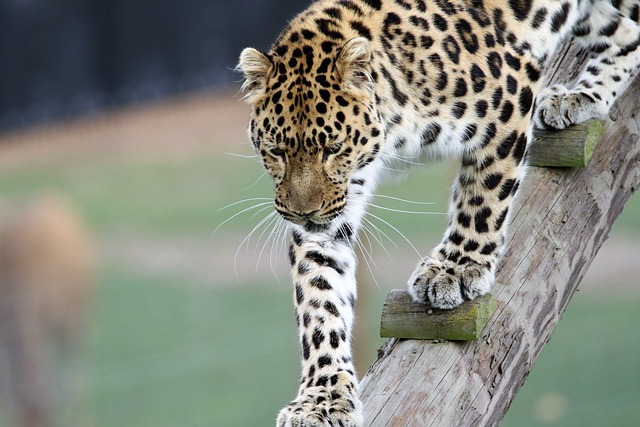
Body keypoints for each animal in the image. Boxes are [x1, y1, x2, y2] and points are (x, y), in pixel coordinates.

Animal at [238, 0, 640, 424]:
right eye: (276, 150)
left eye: (333, 148)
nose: (304, 213)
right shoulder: (336, 210)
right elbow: (319, 298)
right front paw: (323, 397)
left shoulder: (510, 93)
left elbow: (484, 194)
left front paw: (455, 269)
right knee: (627, 35)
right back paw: (579, 96)